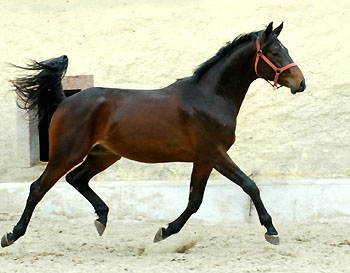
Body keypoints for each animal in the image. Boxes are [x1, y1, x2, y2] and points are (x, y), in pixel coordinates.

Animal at [1, 21, 304, 246]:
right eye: (275, 52)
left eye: (284, 49)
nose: (300, 83)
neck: (209, 96)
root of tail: (65, 100)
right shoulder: (215, 153)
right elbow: (249, 185)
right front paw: (271, 230)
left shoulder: (204, 159)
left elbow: (195, 201)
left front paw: (165, 231)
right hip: (67, 153)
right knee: (38, 188)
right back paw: (12, 235)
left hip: (104, 155)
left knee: (77, 179)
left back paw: (102, 218)